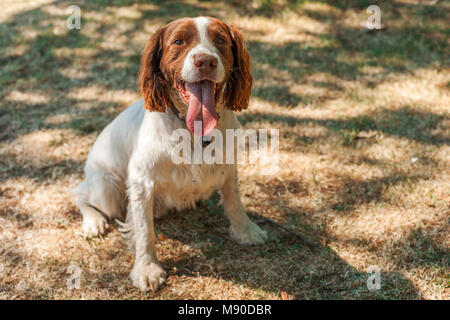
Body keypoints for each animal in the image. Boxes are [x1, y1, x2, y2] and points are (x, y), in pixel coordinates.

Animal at [74, 16, 268, 292]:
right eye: (178, 41)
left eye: (220, 39)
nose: (205, 61)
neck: (192, 128)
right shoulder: (142, 180)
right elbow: (145, 231)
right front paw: (146, 269)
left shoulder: (228, 167)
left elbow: (234, 202)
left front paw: (246, 230)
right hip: (106, 185)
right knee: (81, 194)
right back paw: (93, 221)